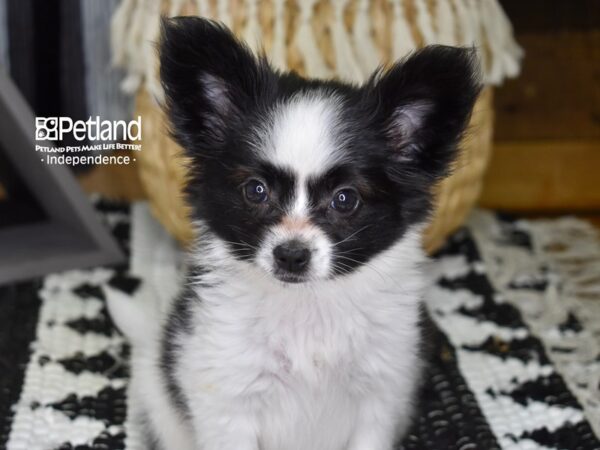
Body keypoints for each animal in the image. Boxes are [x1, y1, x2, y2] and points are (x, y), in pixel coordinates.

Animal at [111, 15, 478, 448]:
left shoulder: (380, 398)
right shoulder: (227, 401)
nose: (291, 255)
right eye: (256, 191)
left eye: (345, 199)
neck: (307, 309)